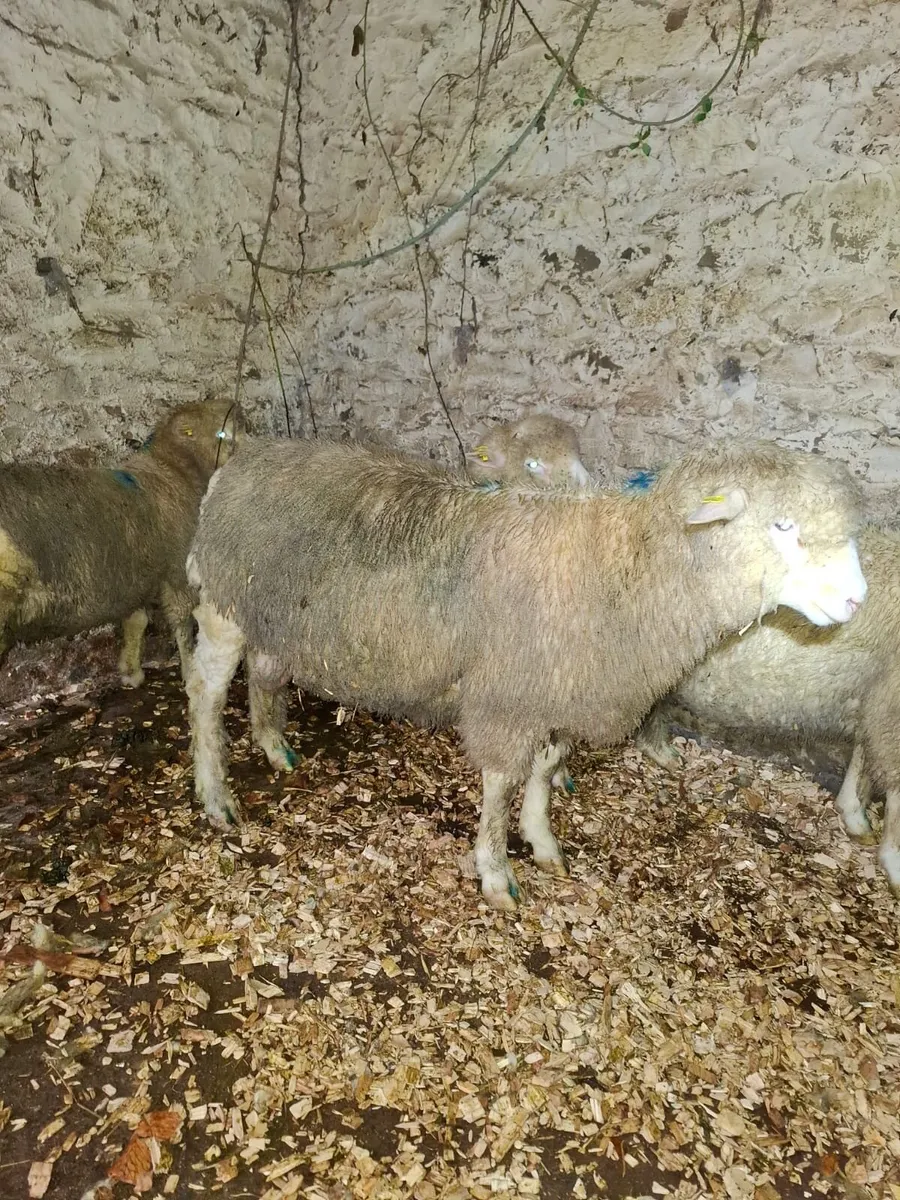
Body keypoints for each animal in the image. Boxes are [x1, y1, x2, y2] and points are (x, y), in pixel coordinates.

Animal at [0, 399, 243, 688]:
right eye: (222, 432)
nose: (236, 405)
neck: (174, 468)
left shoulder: (134, 574)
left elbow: (136, 620)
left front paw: (130, 671)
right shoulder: (176, 570)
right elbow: (182, 623)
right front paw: (190, 671)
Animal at [185, 437, 867, 911]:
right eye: (782, 526)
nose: (857, 600)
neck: (626, 569)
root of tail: (241, 459)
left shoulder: (557, 688)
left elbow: (544, 770)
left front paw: (542, 842)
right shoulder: (509, 697)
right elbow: (500, 784)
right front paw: (496, 872)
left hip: (273, 614)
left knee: (265, 674)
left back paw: (274, 746)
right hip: (223, 605)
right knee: (207, 690)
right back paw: (216, 793)